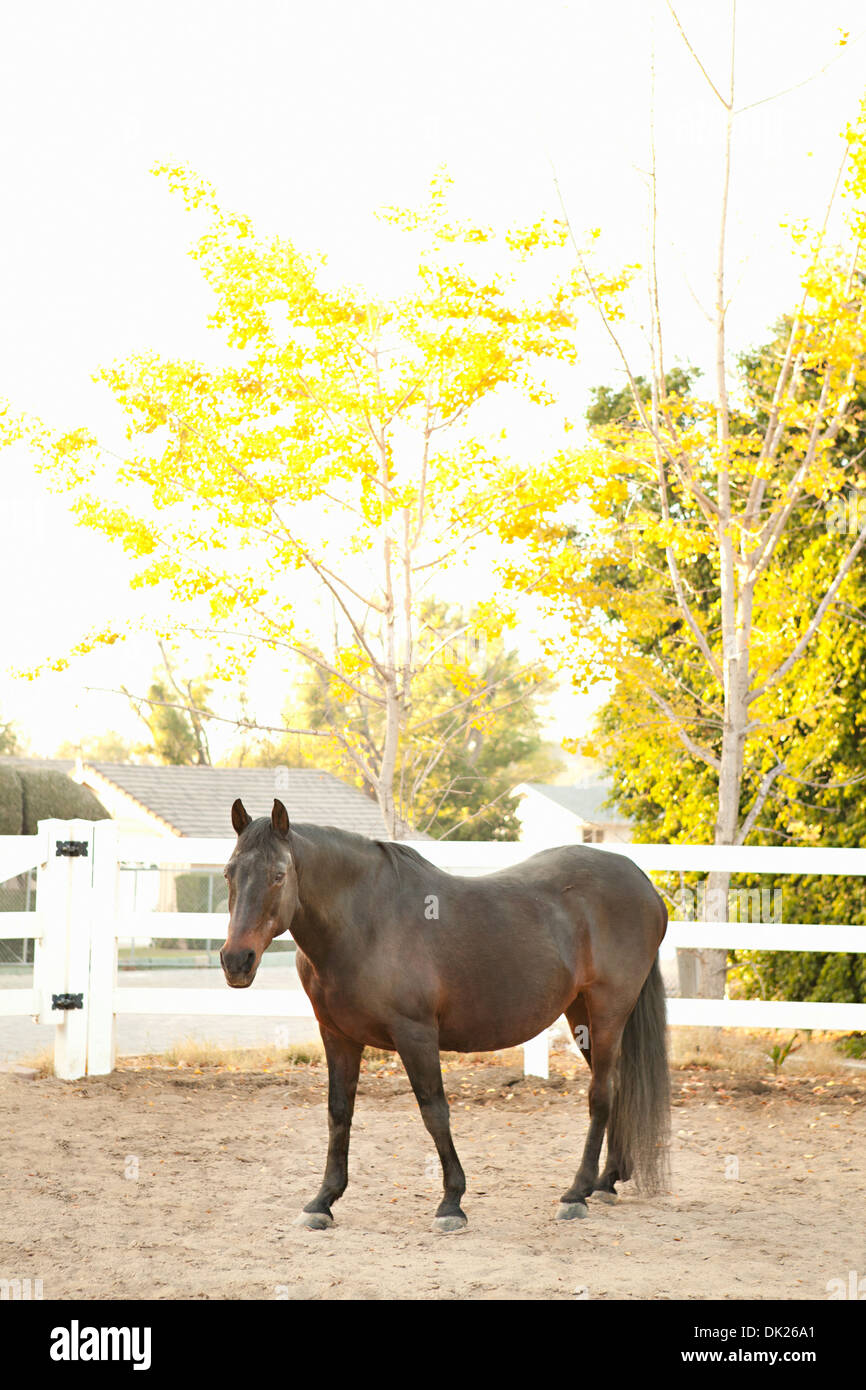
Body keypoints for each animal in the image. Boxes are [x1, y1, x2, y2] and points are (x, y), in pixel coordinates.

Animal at [219, 798, 670, 1233]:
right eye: (228, 873)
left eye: (279, 875)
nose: (236, 960)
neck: (367, 923)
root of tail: (641, 880)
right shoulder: (337, 1035)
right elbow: (338, 1113)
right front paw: (322, 1202)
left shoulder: (415, 1035)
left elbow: (434, 1111)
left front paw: (451, 1202)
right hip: (580, 1014)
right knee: (615, 1087)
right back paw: (606, 1181)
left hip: (608, 1010)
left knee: (600, 1094)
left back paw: (576, 1193)